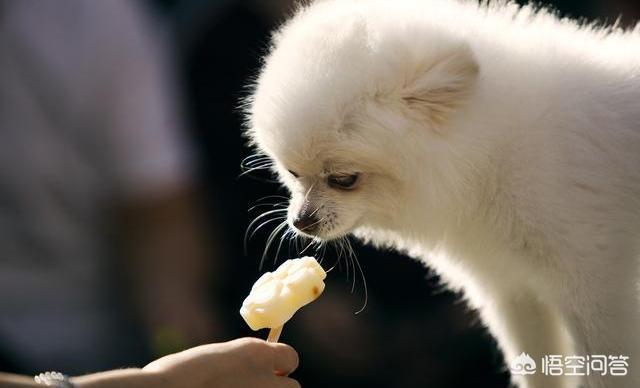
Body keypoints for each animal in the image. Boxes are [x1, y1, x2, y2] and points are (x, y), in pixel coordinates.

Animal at [245, 1, 640, 386]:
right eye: (293, 174)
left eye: (344, 179)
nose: (301, 221)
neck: (494, 156)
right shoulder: (514, 291)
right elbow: (537, 368)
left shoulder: (594, 287)